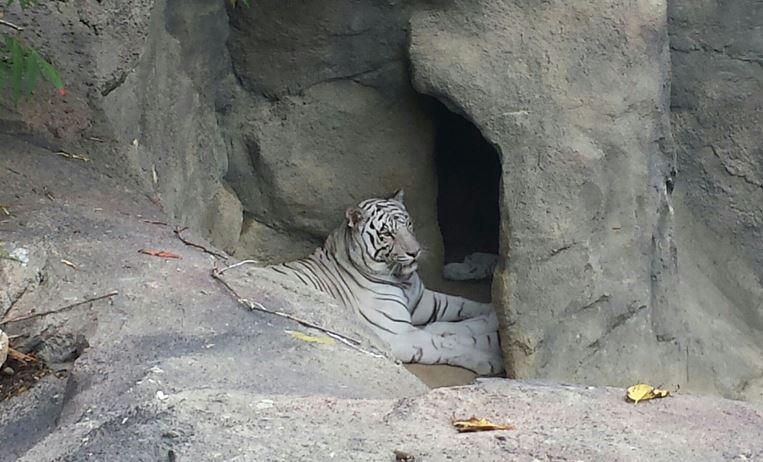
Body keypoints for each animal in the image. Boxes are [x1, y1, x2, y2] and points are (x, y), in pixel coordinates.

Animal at [268, 190, 504, 375]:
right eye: (387, 234)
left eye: (408, 224)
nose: (415, 252)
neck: (402, 280)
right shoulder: (399, 334)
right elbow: (446, 345)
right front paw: (489, 359)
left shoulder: (425, 301)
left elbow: (465, 305)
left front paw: (495, 313)